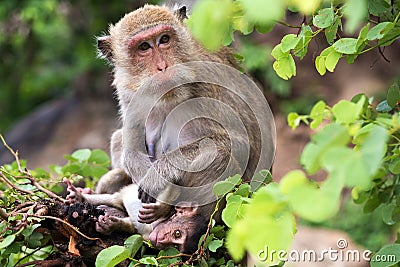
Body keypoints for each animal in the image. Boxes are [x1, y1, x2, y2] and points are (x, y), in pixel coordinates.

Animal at [64, 171, 208, 254]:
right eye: (177, 233)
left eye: (175, 247)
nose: (162, 242)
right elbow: (173, 186)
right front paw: (161, 209)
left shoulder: (146, 235)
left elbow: (132, 226)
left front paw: (110, 226)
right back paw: (81, 196)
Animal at [97, 2, 276, 241]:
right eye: (144, 47)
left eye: (164, 39)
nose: (163, 66)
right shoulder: (128, 93)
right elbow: (130, 142)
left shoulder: (207, 83)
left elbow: (239, 145)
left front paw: (157, 175)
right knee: (119, 138)